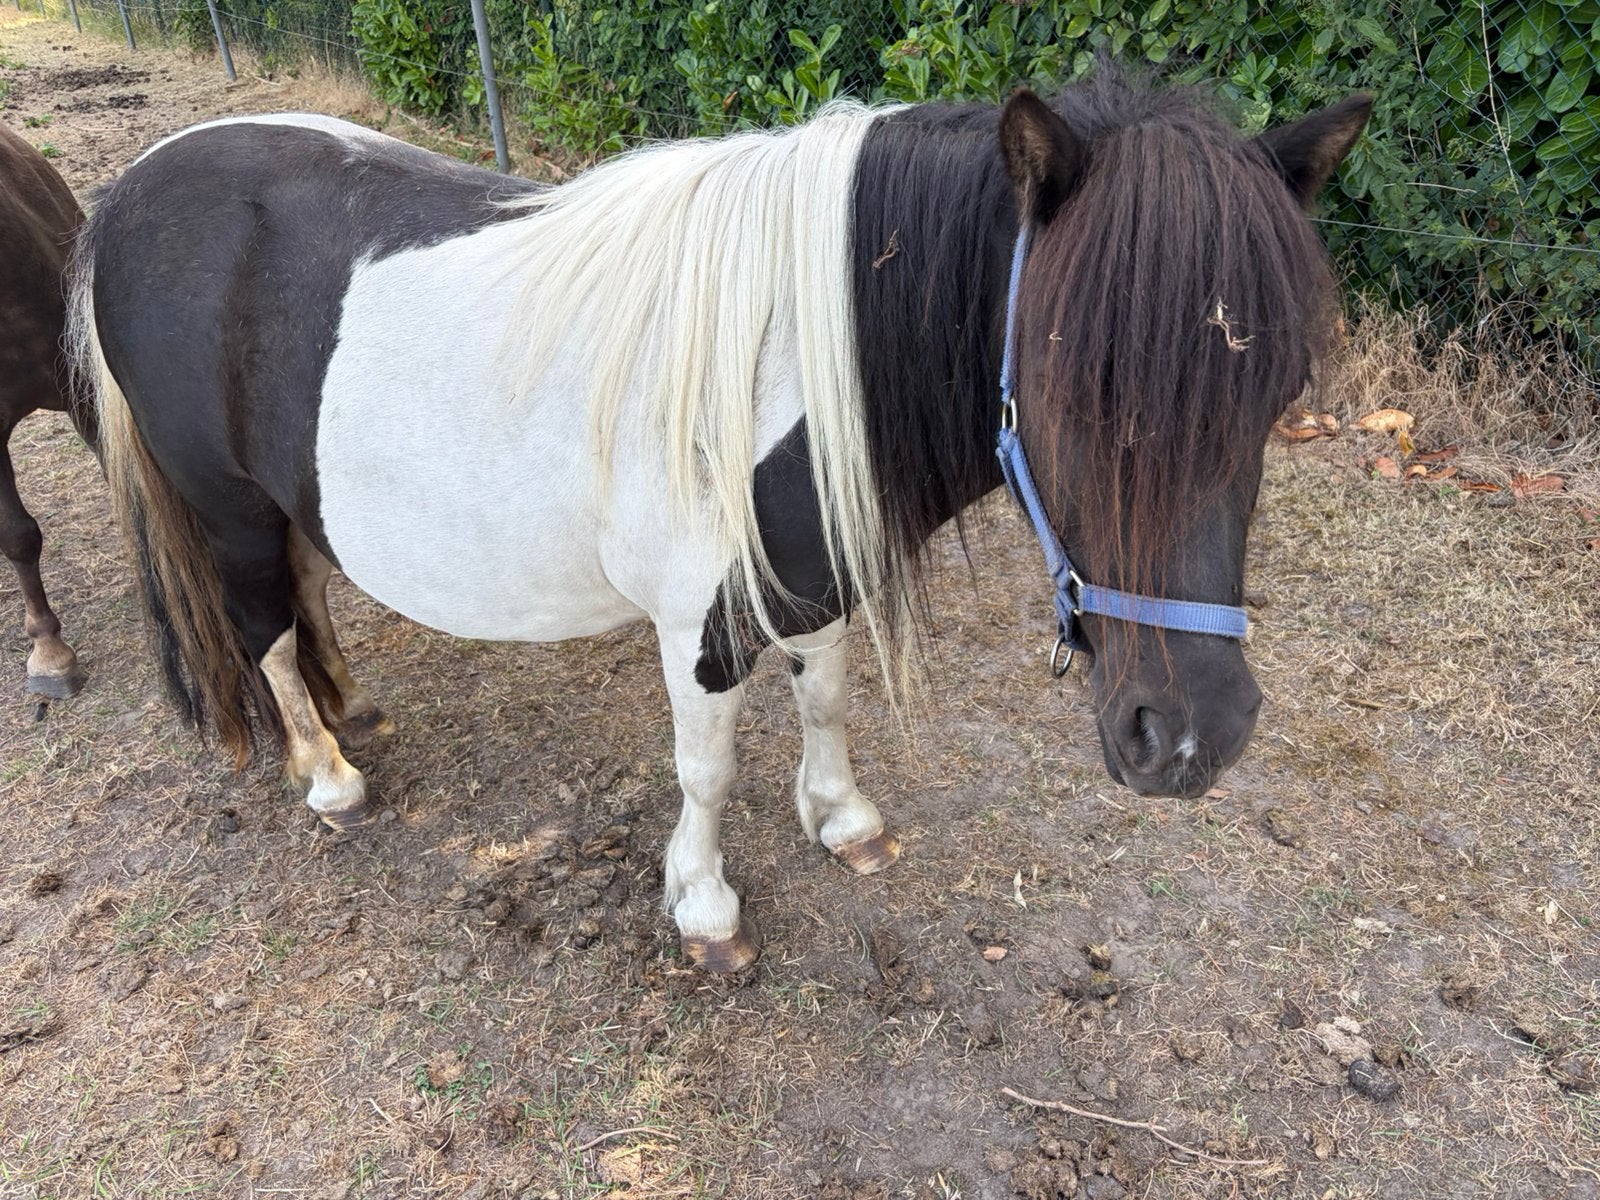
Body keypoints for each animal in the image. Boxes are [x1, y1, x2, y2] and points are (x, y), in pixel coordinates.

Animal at [70, 72, 1369, 970]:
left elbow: (826, 698)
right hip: (224, 510)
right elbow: (705, 767)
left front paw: (840, 817)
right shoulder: (699, 620)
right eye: (1066, 384)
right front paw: (701, 905)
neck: (797, 354)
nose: (1193, 737)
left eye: (1278, 394)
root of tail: (131, 191)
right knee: (264, 631)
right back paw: (327, 774)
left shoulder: (812, 577)